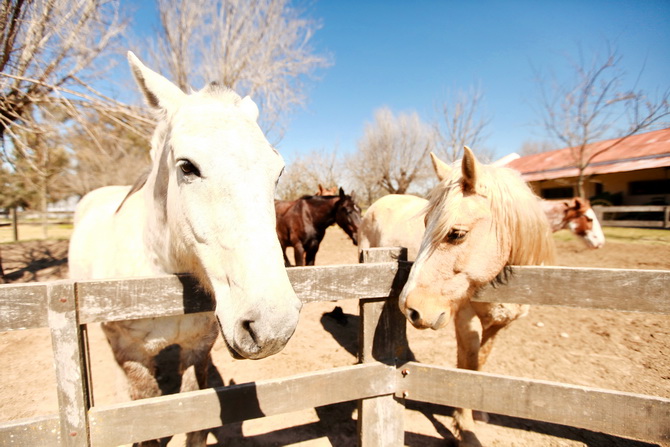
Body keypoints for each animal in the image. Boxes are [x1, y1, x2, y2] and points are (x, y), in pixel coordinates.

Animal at [69, 53, 302, 447]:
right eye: (187, 167)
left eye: (278, 172)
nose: (273, 325)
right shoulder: (132, 354)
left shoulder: (198, 348)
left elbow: (194, 419)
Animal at [362, 149, 556, 446]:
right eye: (425, 224)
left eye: (456, 234)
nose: (411, 308)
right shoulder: (465, 318)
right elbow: (467, 364)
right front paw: (464, 427)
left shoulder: (498, 324)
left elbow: (481, 362)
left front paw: (478, 412)